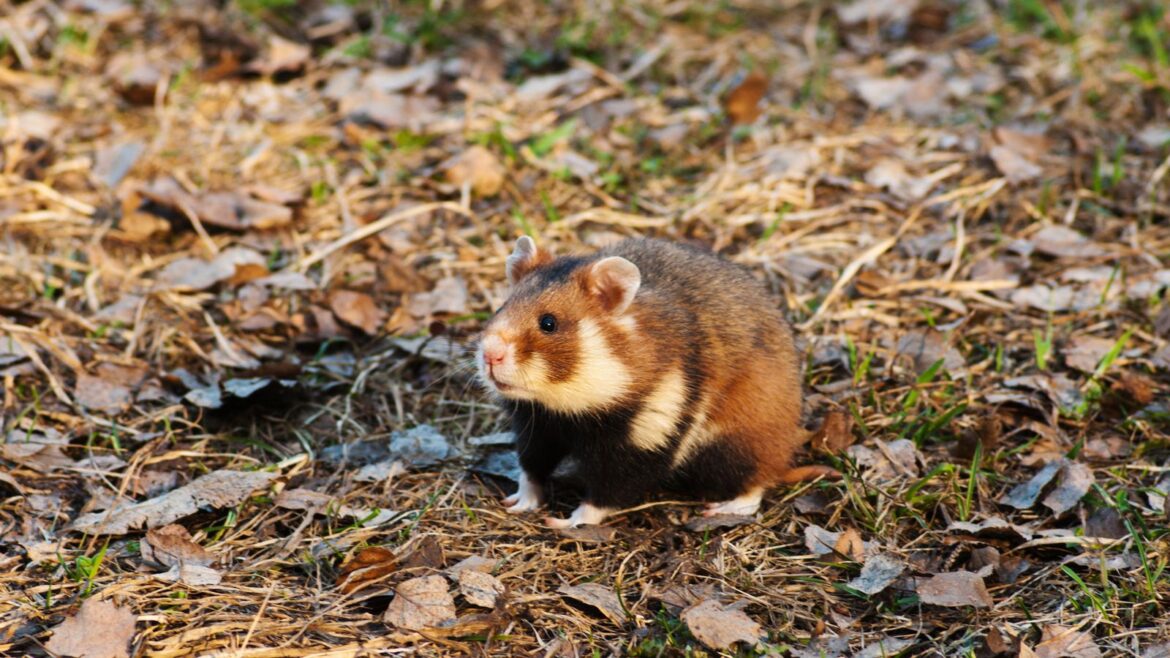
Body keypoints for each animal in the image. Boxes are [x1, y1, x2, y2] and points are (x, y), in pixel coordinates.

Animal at [477, 236, 837, 528]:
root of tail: (786, 451)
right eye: (501, 307)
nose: (489, 355)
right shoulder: (537, 424)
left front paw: (564, 522)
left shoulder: (647, 439)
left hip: (733, 445)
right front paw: (517, 504)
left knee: (755, 484)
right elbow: (530, 469)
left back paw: (719, 509)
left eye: (549, 323)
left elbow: (605, 495)